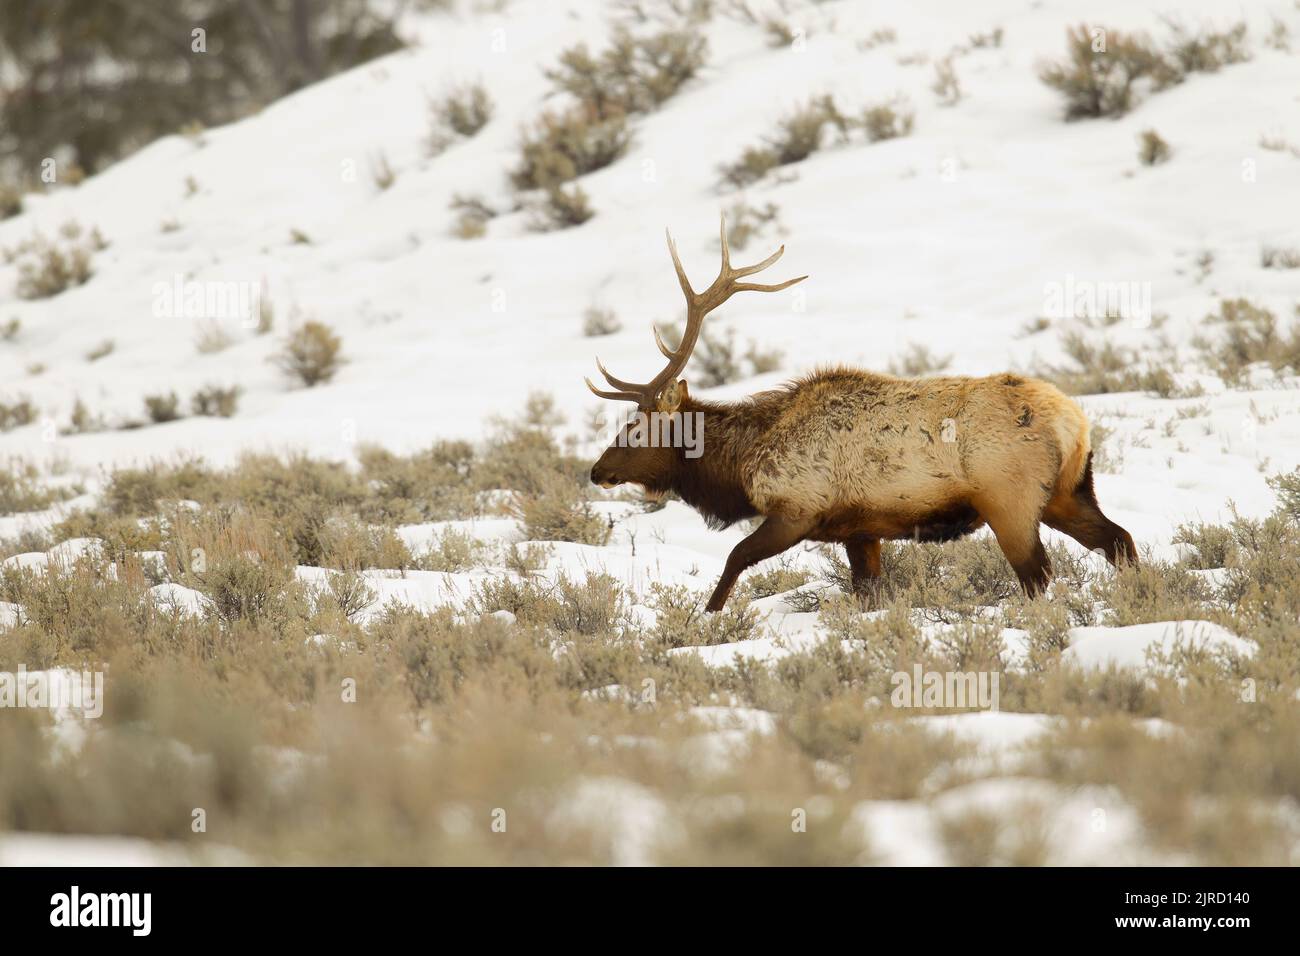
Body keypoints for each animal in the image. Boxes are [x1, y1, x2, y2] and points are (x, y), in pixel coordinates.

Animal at [585, 214, 1133, 613]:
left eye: (635, 428)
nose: (596, 471)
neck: (742, 464)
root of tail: (1074, 422)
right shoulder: (860, 527)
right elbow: (868, 590)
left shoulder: (798, 508)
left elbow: (735, 558)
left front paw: (708, 618)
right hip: (1067, 492)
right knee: (1119, 540)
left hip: (1010, 500)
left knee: (1039, 574)